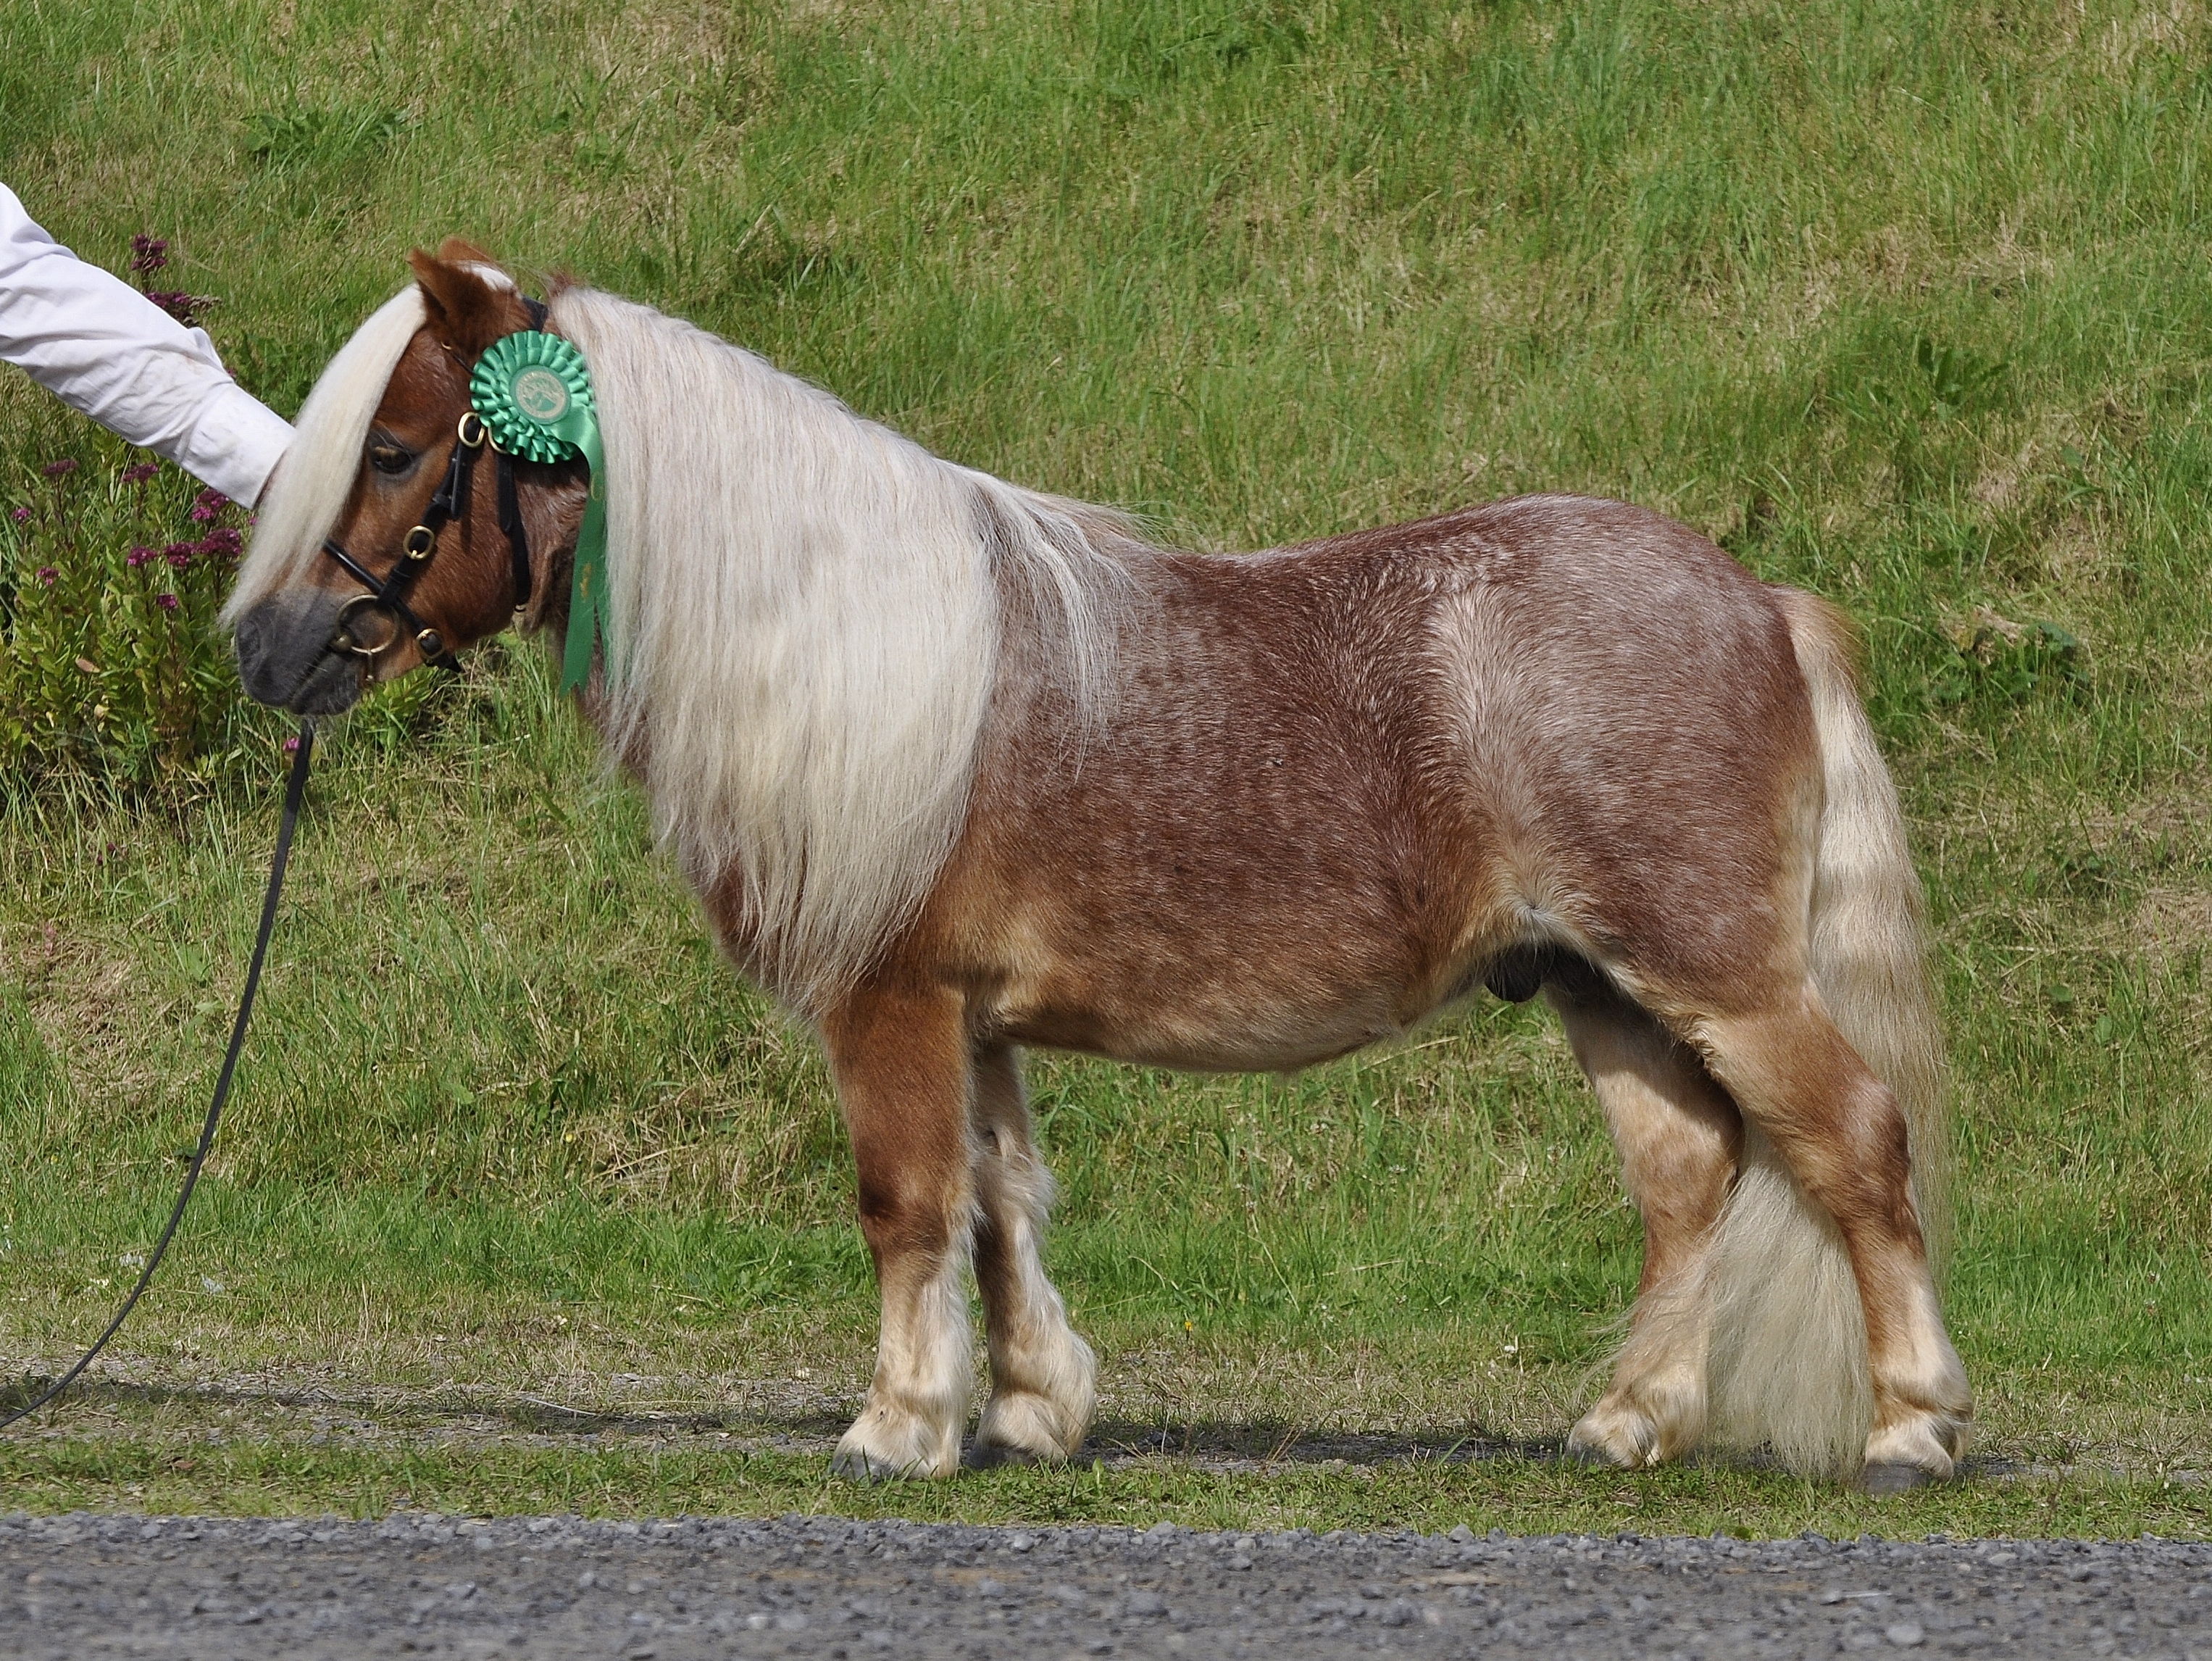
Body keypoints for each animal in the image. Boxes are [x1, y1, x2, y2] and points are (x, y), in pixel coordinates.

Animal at [224, 242, 1970, 1490]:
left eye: (400, 450)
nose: (269, 651)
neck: (837, 640)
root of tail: (1755, 600)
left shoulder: (889, 1002)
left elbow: (908, 1202)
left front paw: (896, 1427)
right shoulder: (974, 1019)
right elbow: (1002, 1204)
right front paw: (1026, 1410)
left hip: (1713, 973)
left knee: (1851, 1141)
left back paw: (1907, 1426)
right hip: (1595, 983)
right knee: (1687, 1180)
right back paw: (1630, 1421)